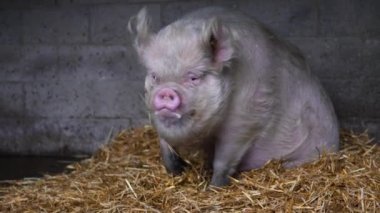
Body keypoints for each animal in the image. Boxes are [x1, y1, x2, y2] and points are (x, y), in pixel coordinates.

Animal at [127, 6, 338, 186]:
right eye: (155, 76)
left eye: (194, 77)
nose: (166, 91)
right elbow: (164, 145)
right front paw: (175, 172)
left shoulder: (248, 115)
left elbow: (224, 158)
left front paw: (213, 188)